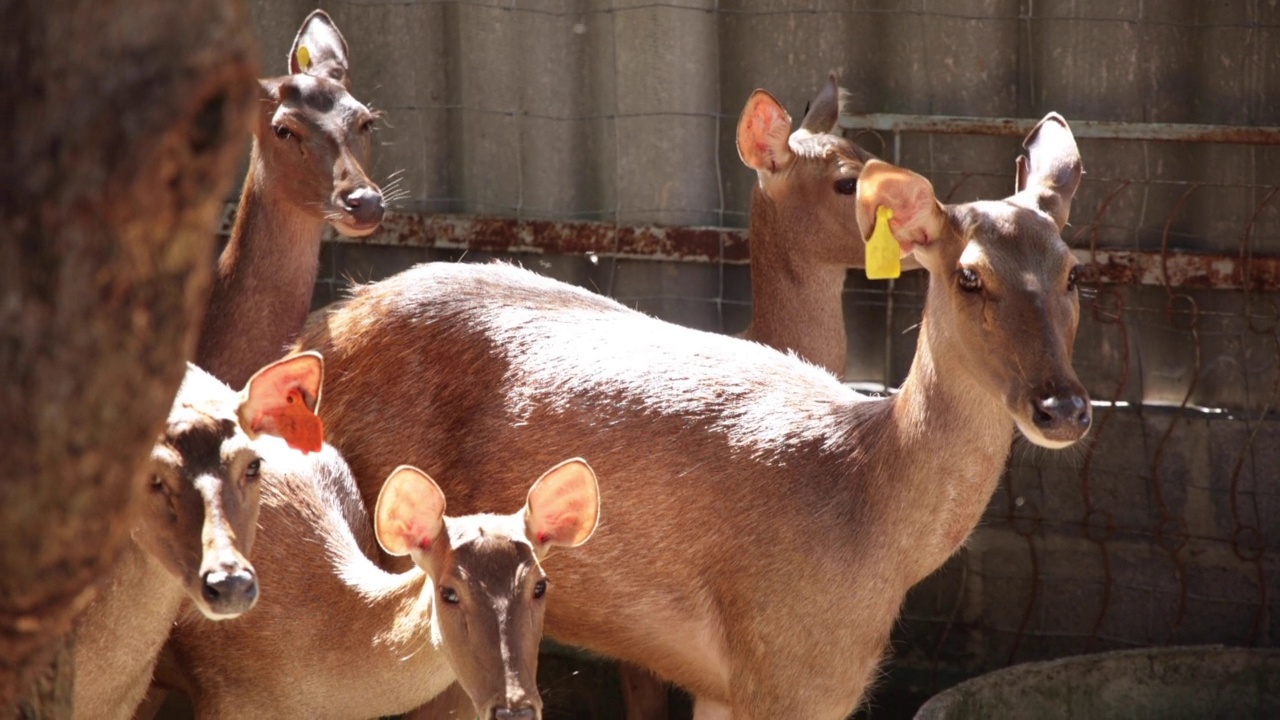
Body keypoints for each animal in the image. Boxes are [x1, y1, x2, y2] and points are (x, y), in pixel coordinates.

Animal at [296, 113, 1090, 717]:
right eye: (969, 276)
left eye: (1073, 270)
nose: (1065, 407)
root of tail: (315, 333)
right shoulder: (787, 672)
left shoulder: (741, 683)